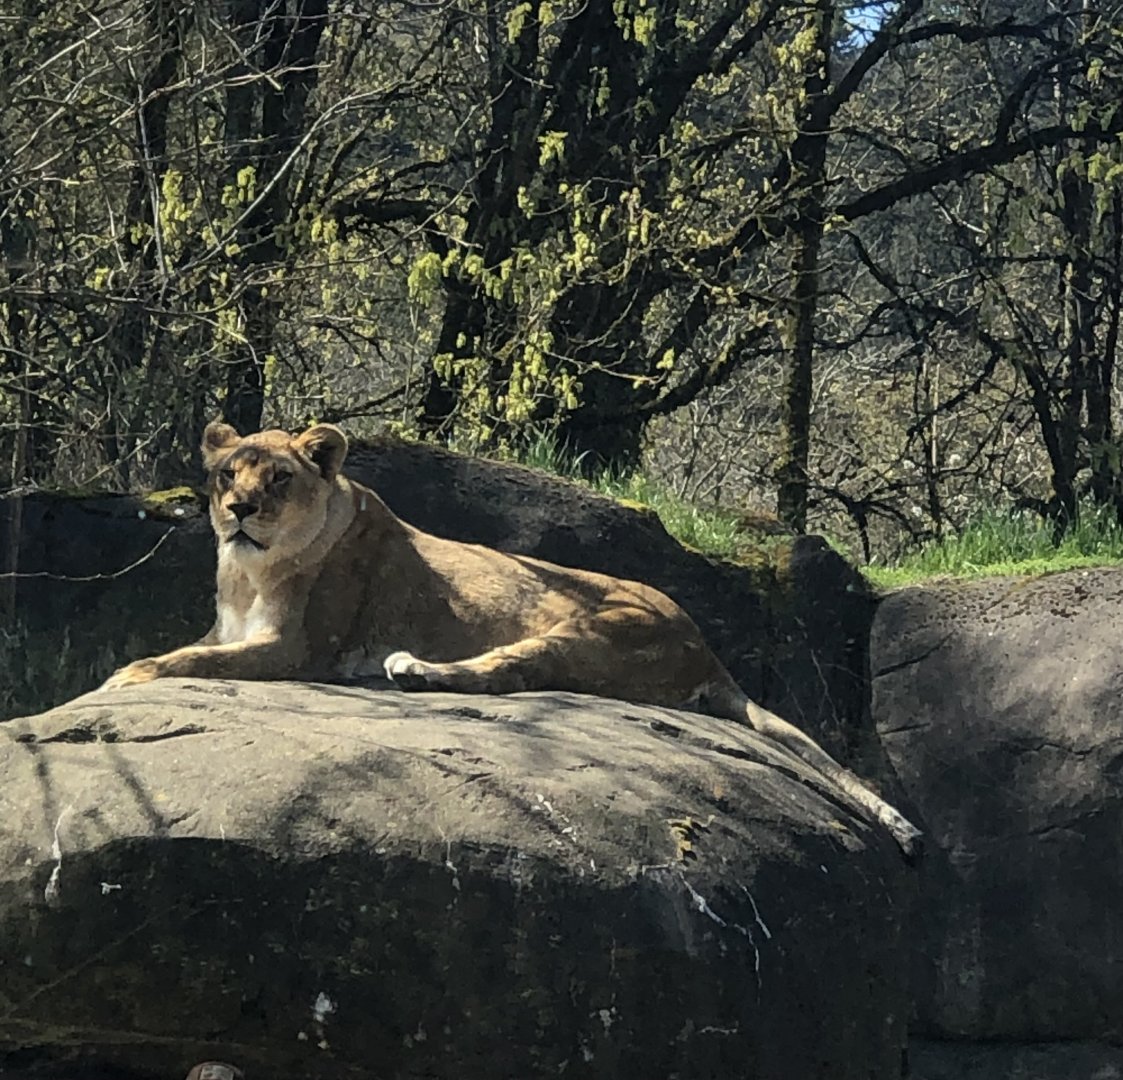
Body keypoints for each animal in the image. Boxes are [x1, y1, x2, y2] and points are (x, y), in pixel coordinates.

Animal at [101, 420, 923, 858]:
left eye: (278, 479)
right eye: (227, 474)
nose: (238, 510)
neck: (248, 571)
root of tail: (706, 646)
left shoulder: (301, 650)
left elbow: (177, 659)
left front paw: (118, 681)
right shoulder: (235, 628)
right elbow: (191, 647)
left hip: (584, 629)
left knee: (495, 674)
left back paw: (412, 669)